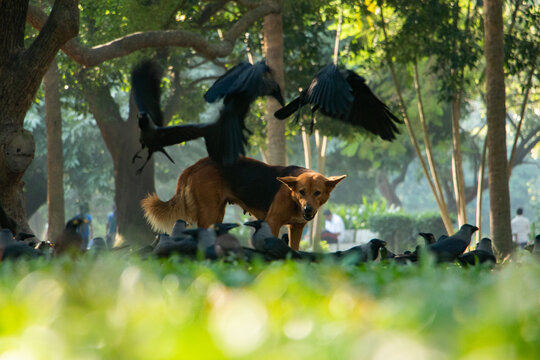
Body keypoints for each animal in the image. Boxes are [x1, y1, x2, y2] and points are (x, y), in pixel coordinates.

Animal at [142, 156, 346, 249]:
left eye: (317, 193)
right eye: (302, 192)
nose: (308, 209)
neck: (292, 196)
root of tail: (199, 163)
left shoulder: (296, 228)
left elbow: (293, 248)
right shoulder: (272, 222)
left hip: (218, 214)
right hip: (208, 213)